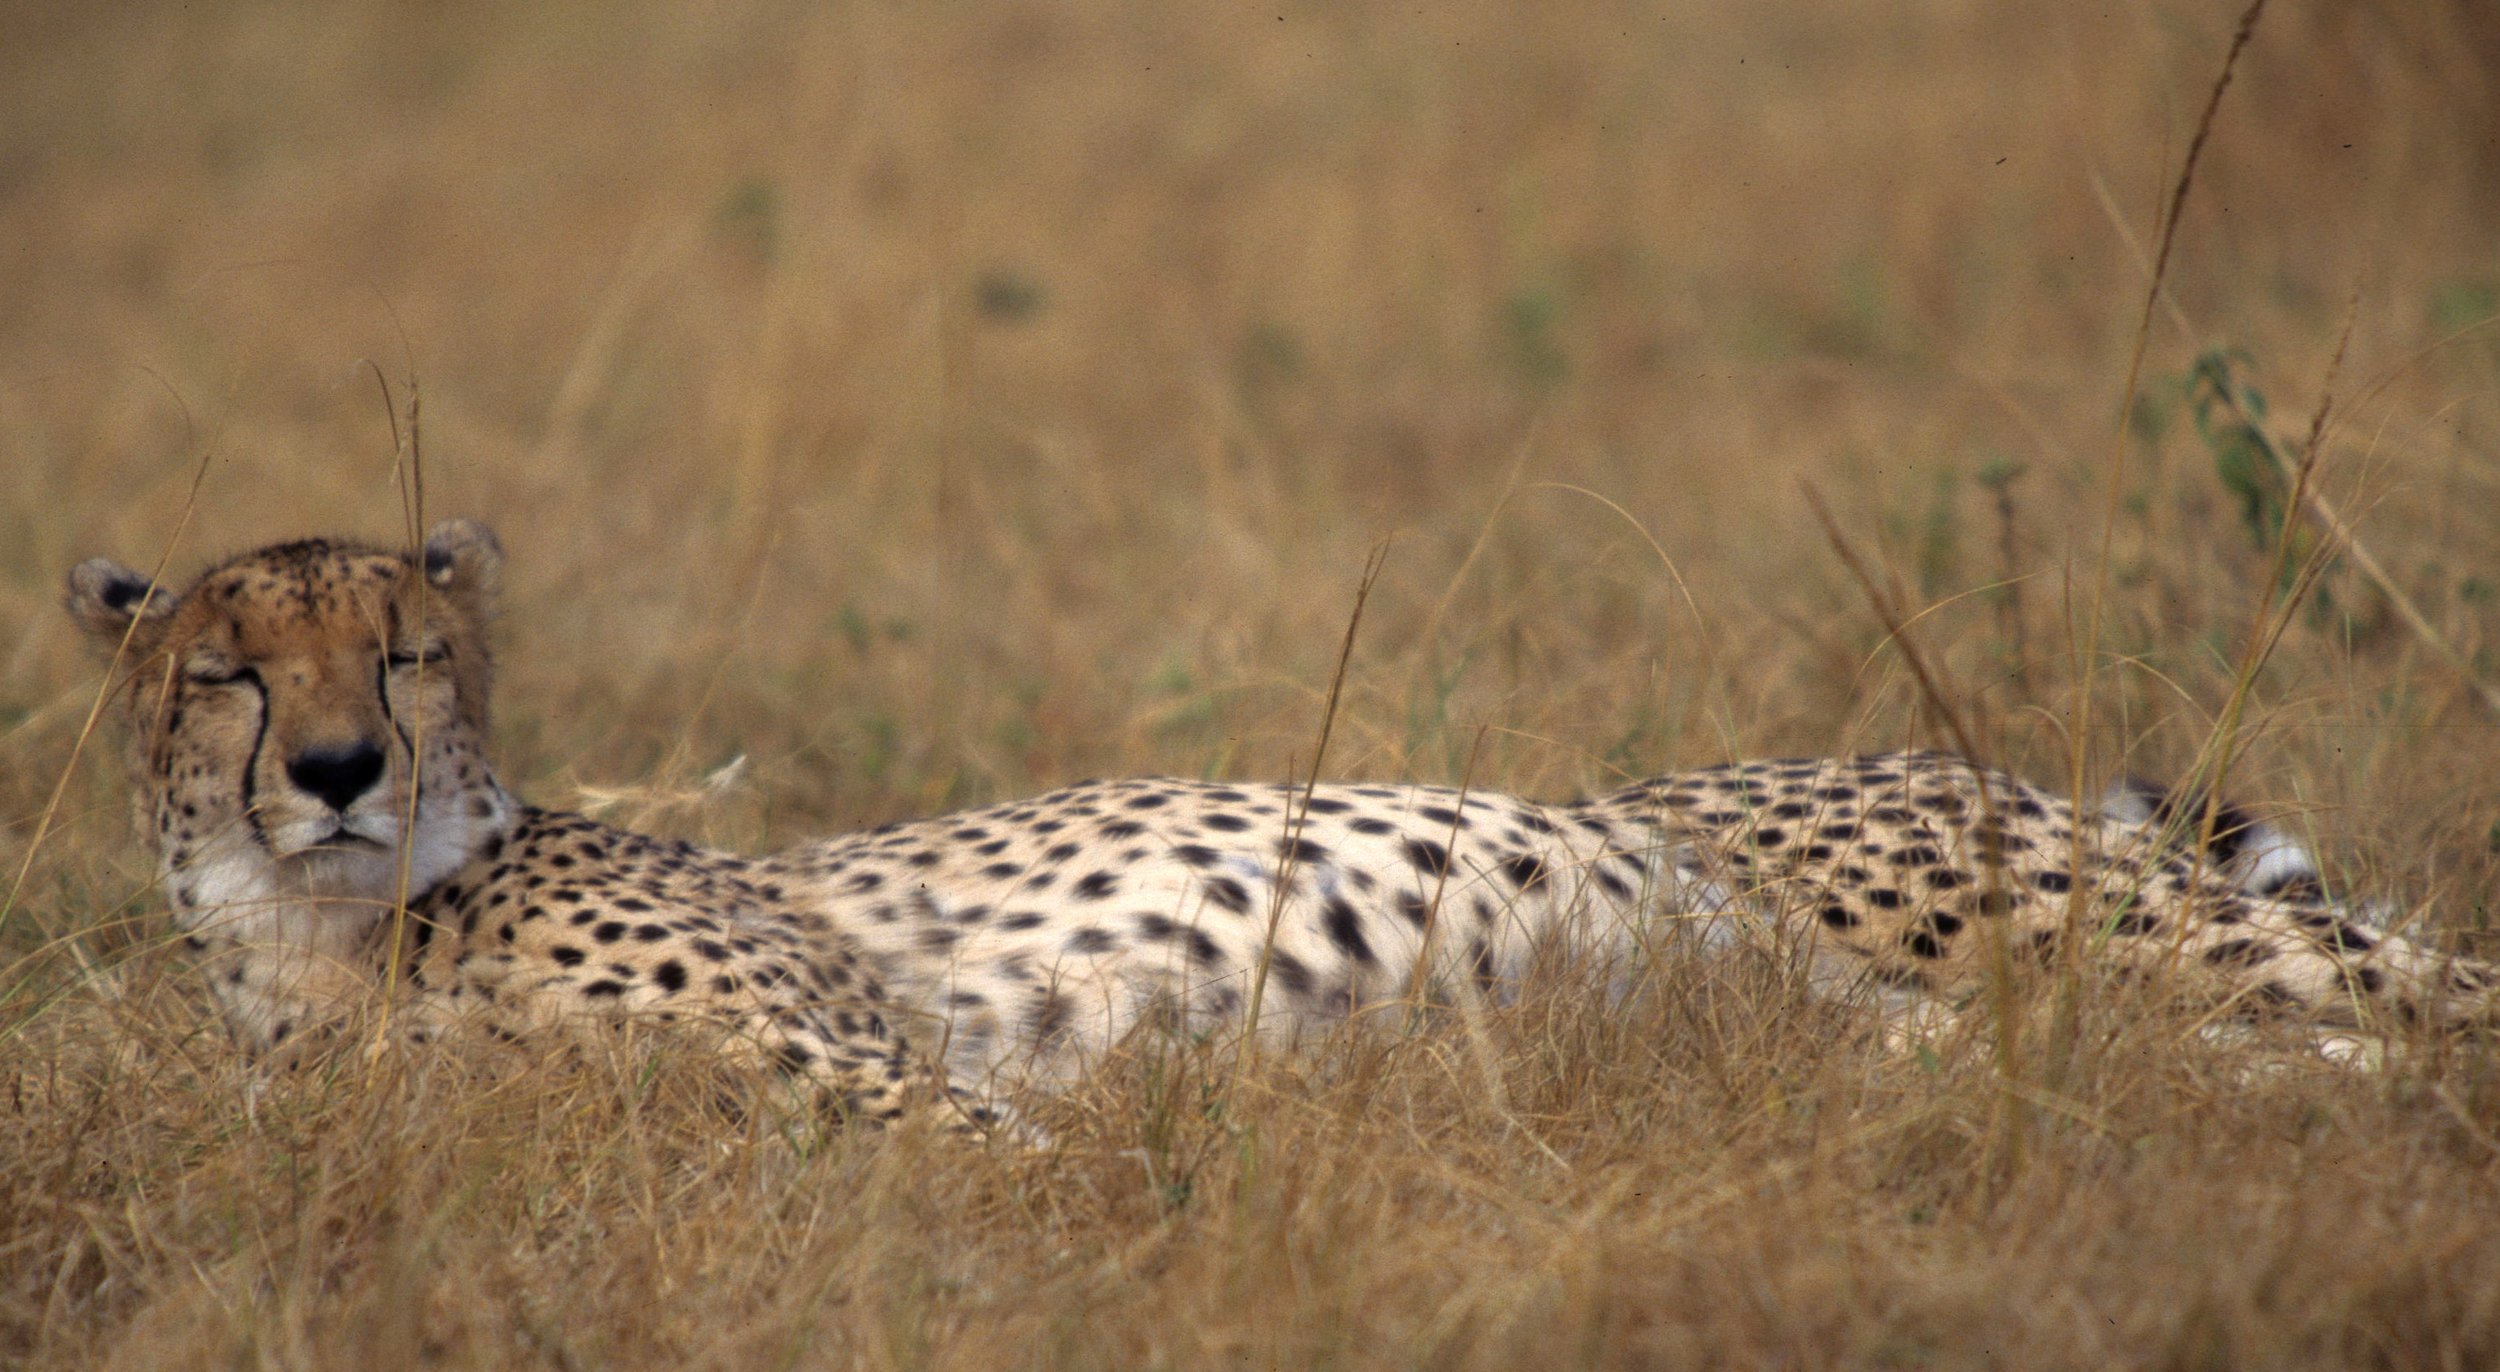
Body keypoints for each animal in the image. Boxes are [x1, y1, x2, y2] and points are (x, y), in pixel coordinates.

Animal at [64, 520, 2500, 1131]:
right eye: (232, 672)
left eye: (402, 655)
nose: (339, 773)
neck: (328, 946)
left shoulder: (888, 1081)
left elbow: (1001, 1162)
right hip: (1953, 1027)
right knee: (2224, 1073)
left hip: (2087, 927)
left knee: (2427, 988)